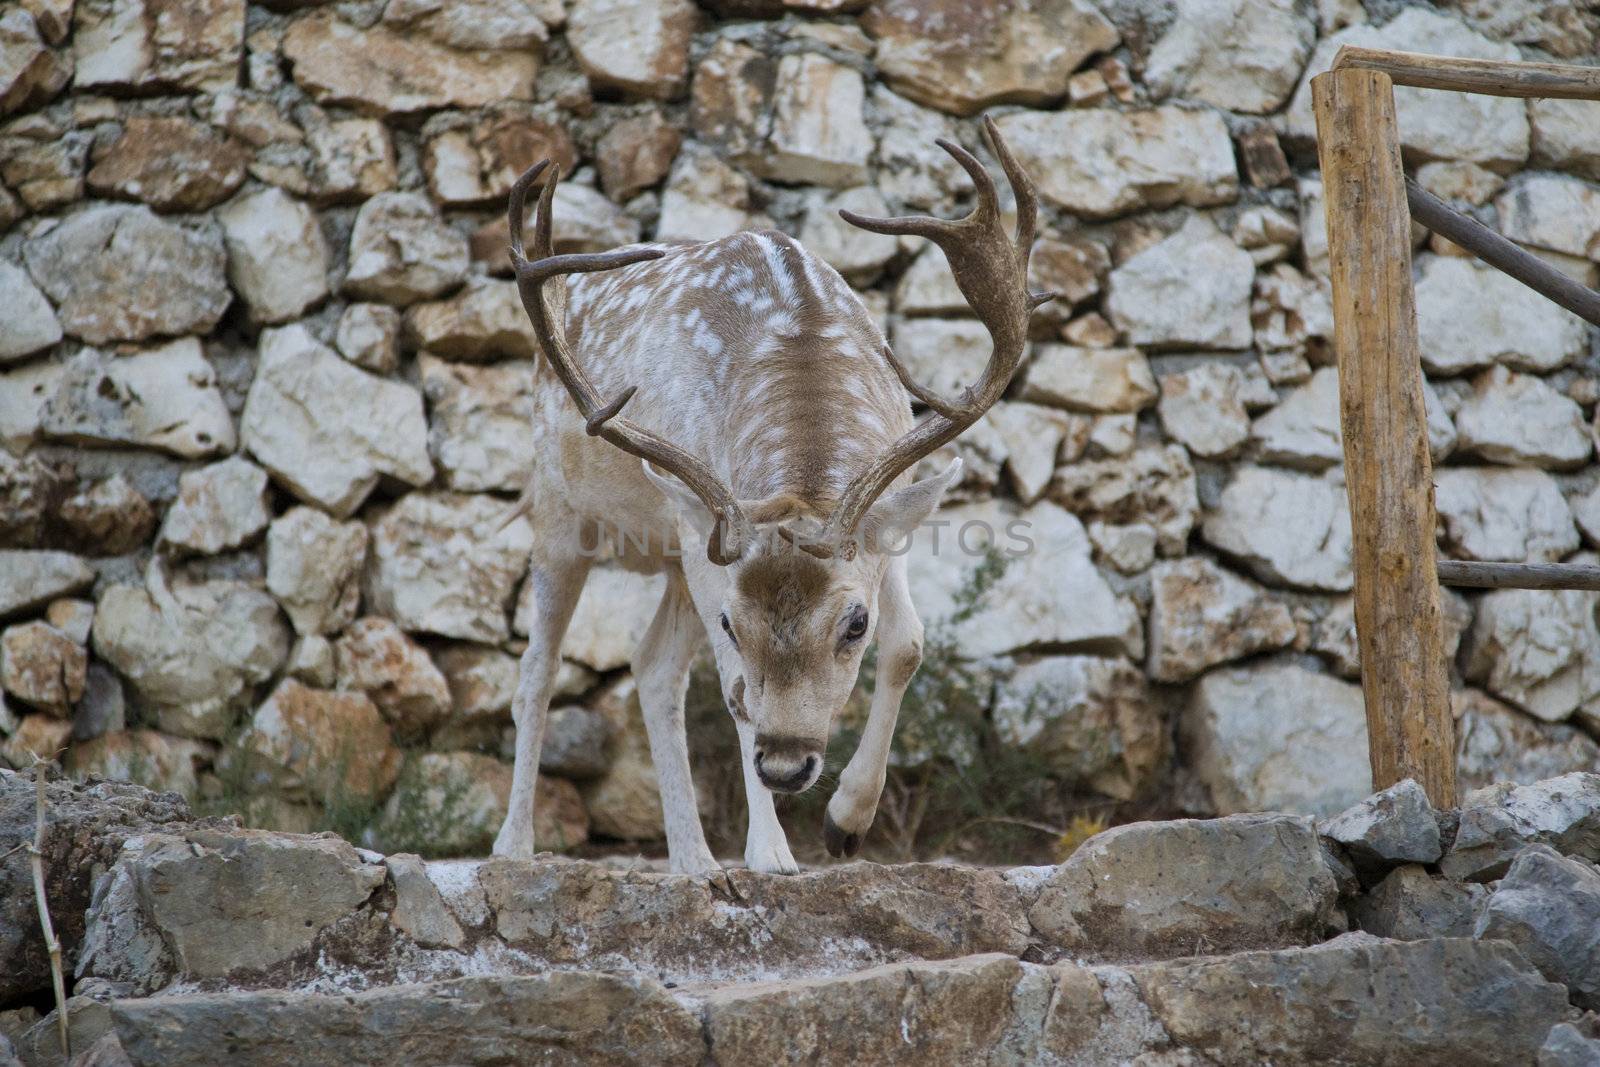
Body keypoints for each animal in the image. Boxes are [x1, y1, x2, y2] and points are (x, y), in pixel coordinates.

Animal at [499, 119, 1049, 876]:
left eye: (855, 624)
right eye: (734, 623)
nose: (786, 767)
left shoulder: (887, 518)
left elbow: (910, 644)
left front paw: (847, 822)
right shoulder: (707, 542)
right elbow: (737, 693)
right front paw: (772, 853)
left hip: (674, 559)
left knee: (653, 666)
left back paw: (694, 860)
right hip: (562, 510)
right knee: (537, 669)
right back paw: (515, 846)